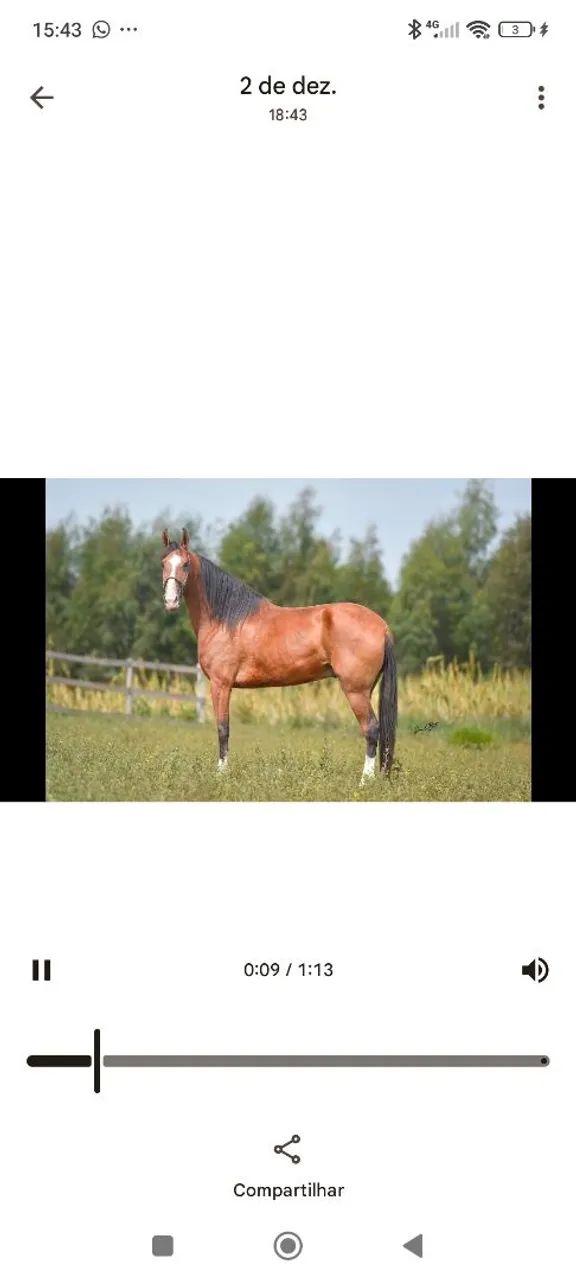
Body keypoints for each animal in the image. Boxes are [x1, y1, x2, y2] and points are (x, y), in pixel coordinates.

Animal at [161, 528, 397, 783]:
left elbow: (223, 728)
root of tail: (382, 626)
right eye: (163, 563)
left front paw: (221, 774)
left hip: (355, 691)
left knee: (371, 729)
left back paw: (364, 782)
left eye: (185, 564)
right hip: (366, 690)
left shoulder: (220, 684)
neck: (226, 620)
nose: (171, 601)